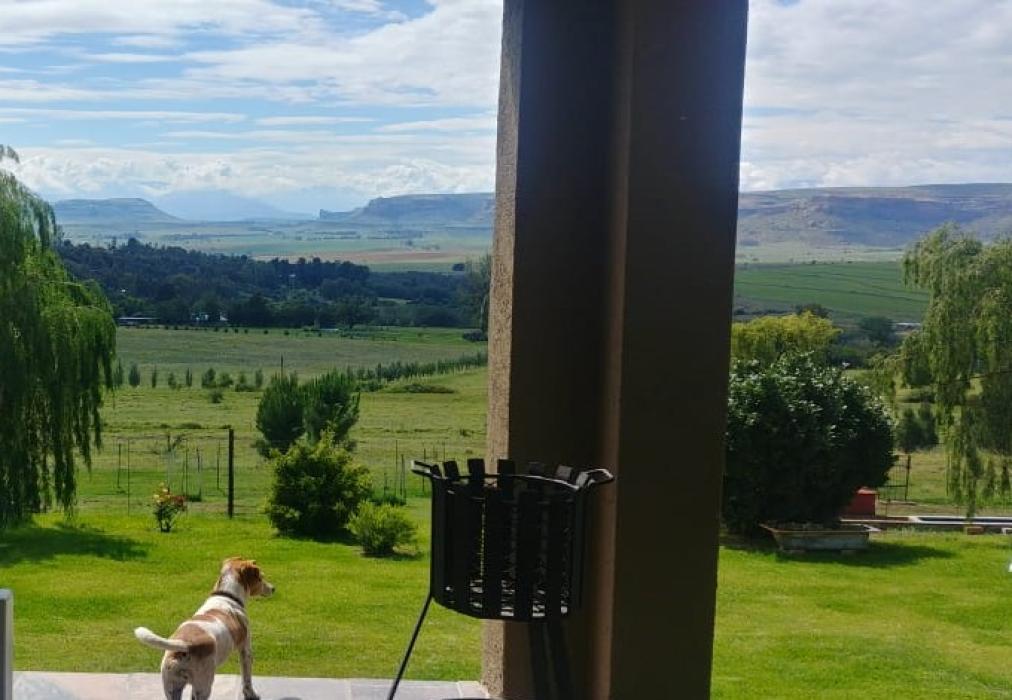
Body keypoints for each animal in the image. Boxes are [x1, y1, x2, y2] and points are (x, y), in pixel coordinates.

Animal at [134, 557, 275, 700]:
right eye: (261, 577)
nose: (273, 588)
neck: (226, 595)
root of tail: (184, 645)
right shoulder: (245, 650)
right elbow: (246, 679)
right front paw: (251, 694)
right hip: (203, 685)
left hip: (172, 687)